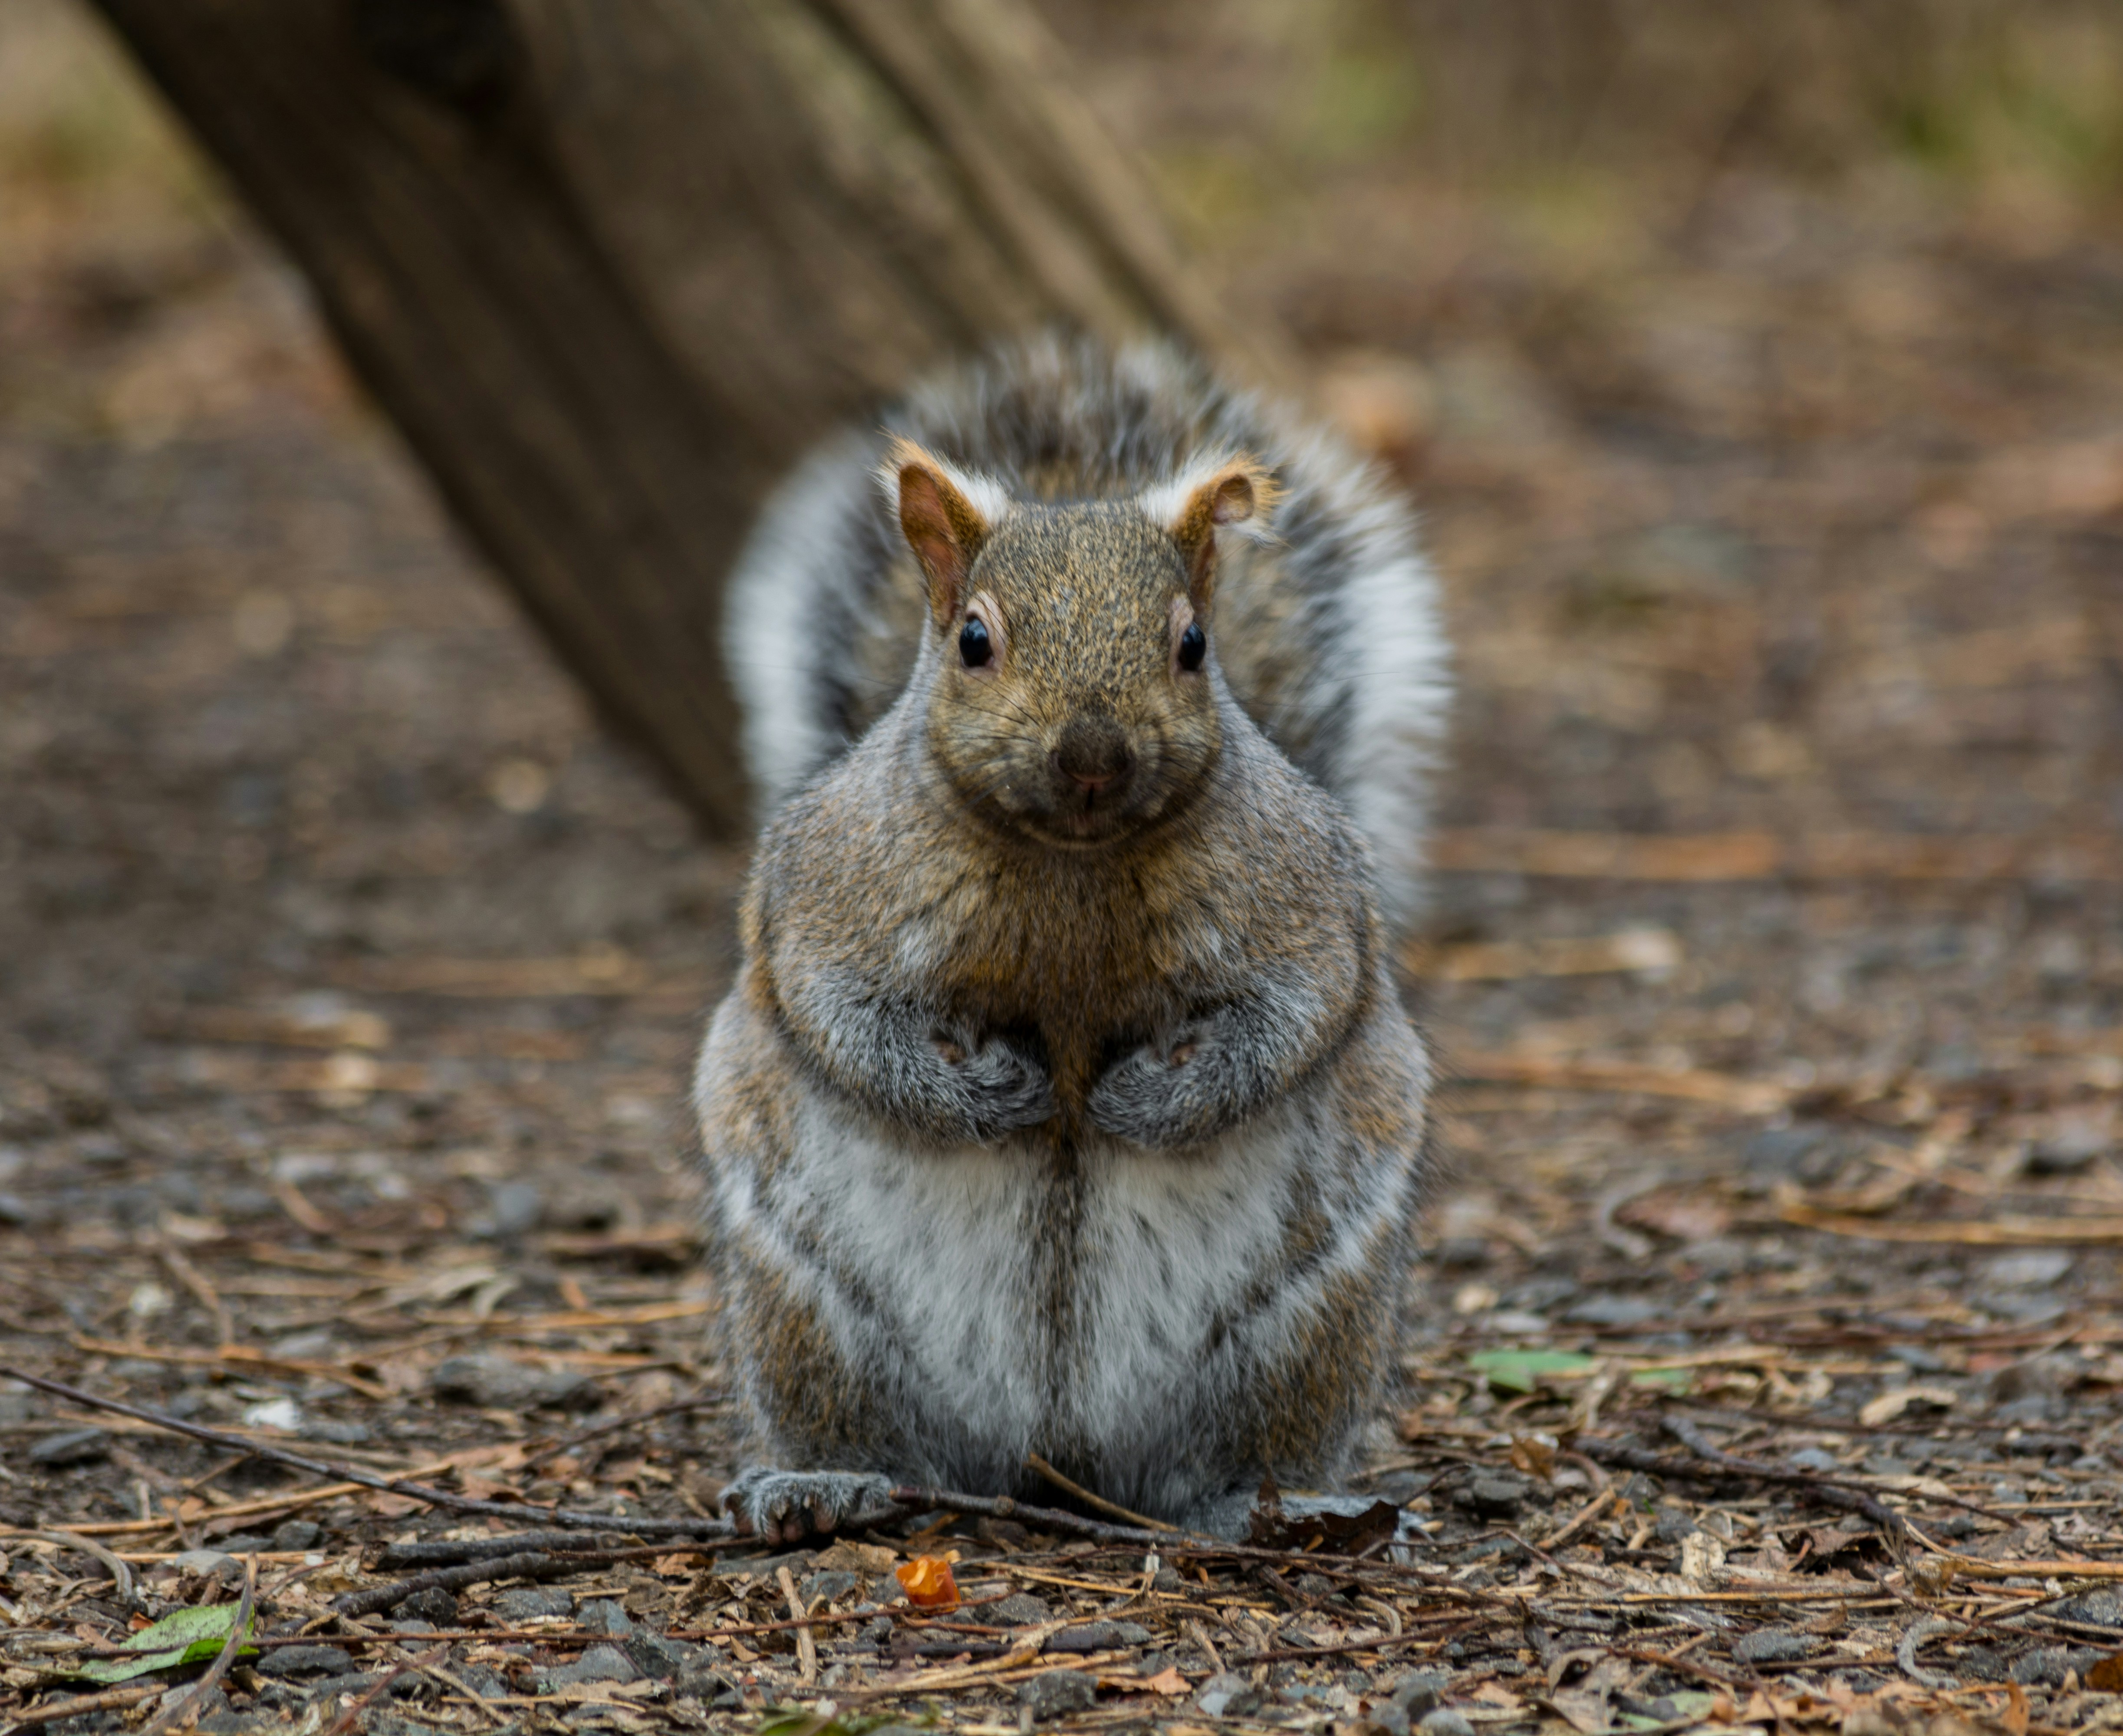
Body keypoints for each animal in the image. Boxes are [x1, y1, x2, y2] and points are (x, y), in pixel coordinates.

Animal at [694, 334, 1450, 1542]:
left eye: (1192, 645)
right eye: (972, 641)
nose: (1092, 756)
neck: (1069, 865)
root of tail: (1054, 1450)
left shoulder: (1308, 907)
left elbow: (1292, 1018)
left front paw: (1140, 1100)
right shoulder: (821, 900)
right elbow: (843, 1021)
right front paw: (994, 1092)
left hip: (1305, 1323)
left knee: (1224, 1454)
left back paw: (1278, 1504)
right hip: (805, 1310)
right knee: (868, 1428)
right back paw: (818, 1483)